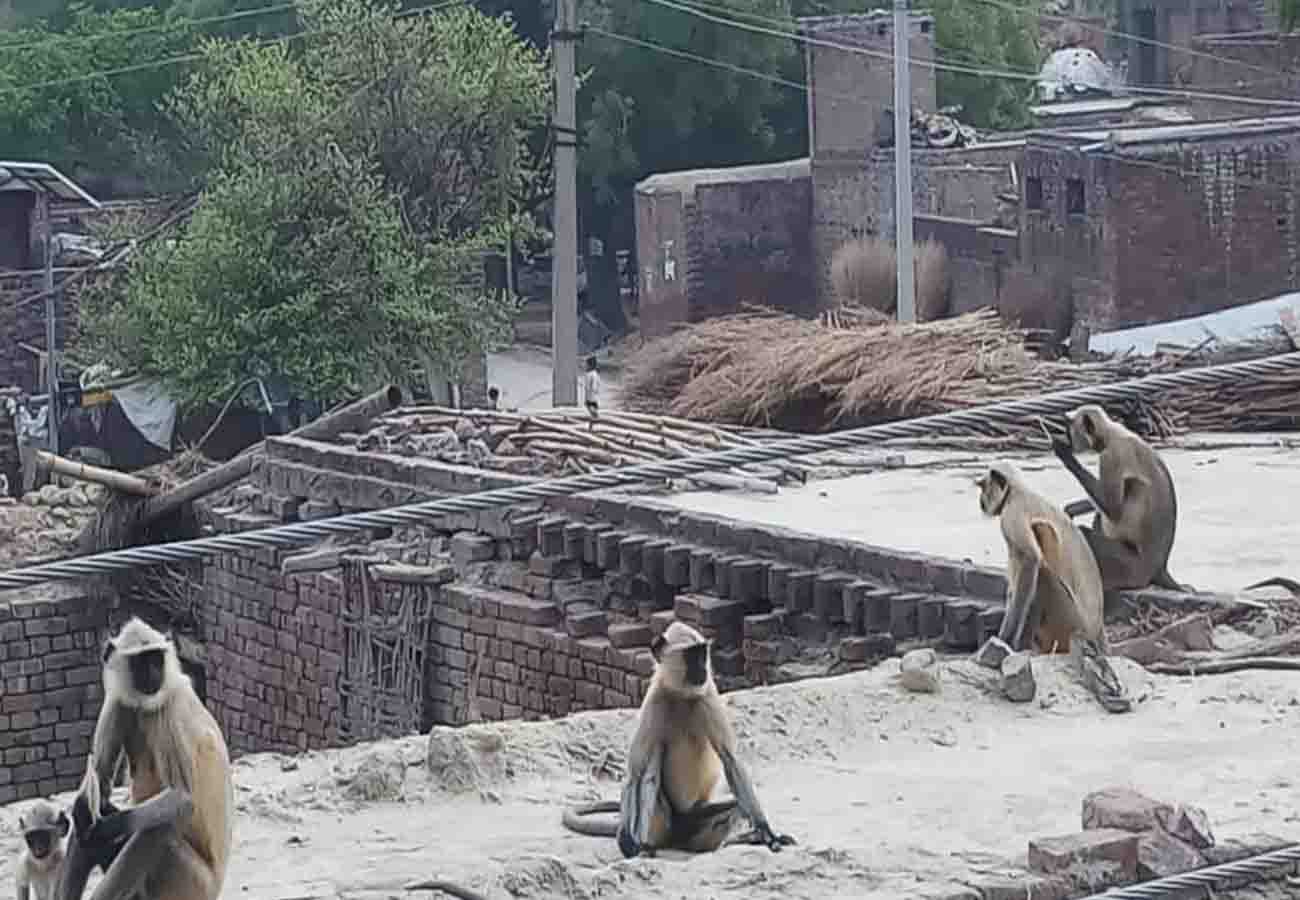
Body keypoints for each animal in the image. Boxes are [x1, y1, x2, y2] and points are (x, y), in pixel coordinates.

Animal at [56, 617, 233, 900]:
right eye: (141, 662)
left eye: (156, 659)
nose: (153, 673)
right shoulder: (118, 701)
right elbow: (100, 782)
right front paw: (87, 813)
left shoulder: (169, 710)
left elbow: (183, 799)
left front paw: (103, 829)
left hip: (193, 884)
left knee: (159, 828)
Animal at [560, 621, 796, 858]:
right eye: (692, 656)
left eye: (703, 653)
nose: (703, 669)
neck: (682, 694)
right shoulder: (654, 701)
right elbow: (636, 773)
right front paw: (627, 840)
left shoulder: (708, 694)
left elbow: (731, 760)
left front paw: (766, 832)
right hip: (664, 824)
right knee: (651, 768)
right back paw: (644, 846)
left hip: (699, 817)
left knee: (735, 807)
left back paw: (743, 837)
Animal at [972, 462, 1133, 714]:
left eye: (983, 487)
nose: (981, 501)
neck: (1018, 491)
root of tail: (1095, 631)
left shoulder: (1012, 513)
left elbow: (1031, 560)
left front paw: (1005, 641)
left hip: (1068, 618)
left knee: (1041, 568)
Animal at [1048, 405, 1187, 593]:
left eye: (1069, 428)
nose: (1067, 438)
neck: (1111, 434)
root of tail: (1159, 569)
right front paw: (1073, 508)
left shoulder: (1111, 457)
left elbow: (1113, 509)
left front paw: (1066, 456)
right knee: (1099, 516)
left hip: (1129, 568)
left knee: (1086, 533)